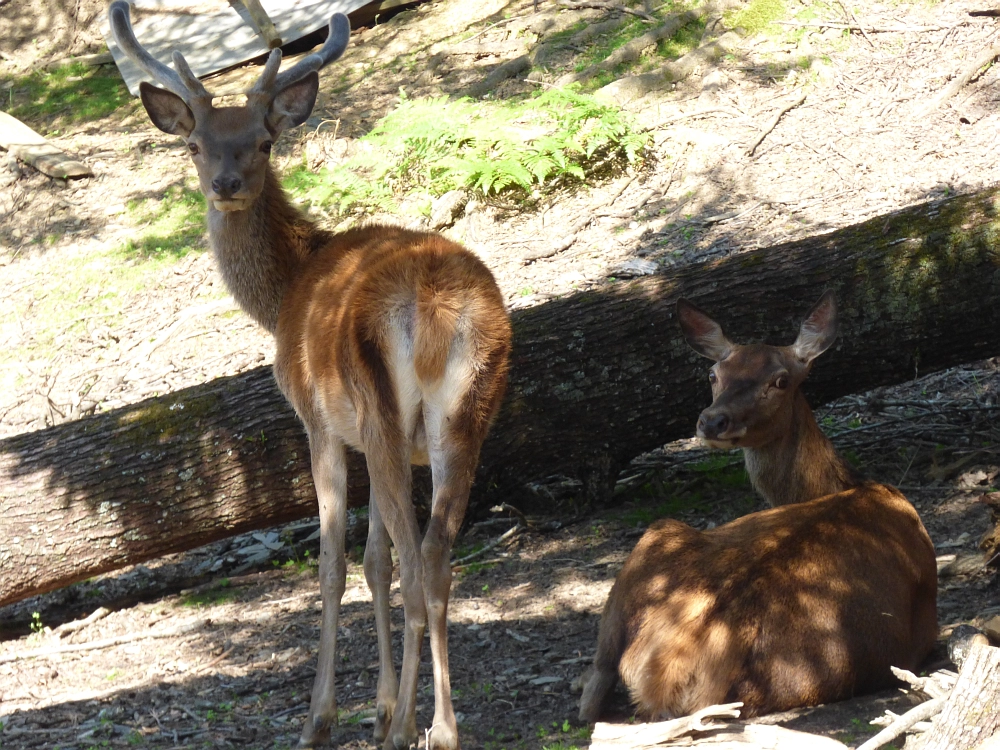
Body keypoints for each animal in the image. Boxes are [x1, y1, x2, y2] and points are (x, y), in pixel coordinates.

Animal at [110, 4, 516, 748]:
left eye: (265, 142)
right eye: (196, 145)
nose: (227, 185)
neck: (284, 293)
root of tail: (433, 303)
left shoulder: (320, 425)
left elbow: (334, 567)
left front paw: (325, 716)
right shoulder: (388, 442)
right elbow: (376, 561)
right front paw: (380, 705)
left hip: (382, 415)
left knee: (416, 564)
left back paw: (405, 729)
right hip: (465, 416)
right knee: (436, 559)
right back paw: (441, 727)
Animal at [580, 294, 936, 724]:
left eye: (780, 381)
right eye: (713, 374)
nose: (712, 420)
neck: (853, 483)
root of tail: (667, 669)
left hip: (656, 537)